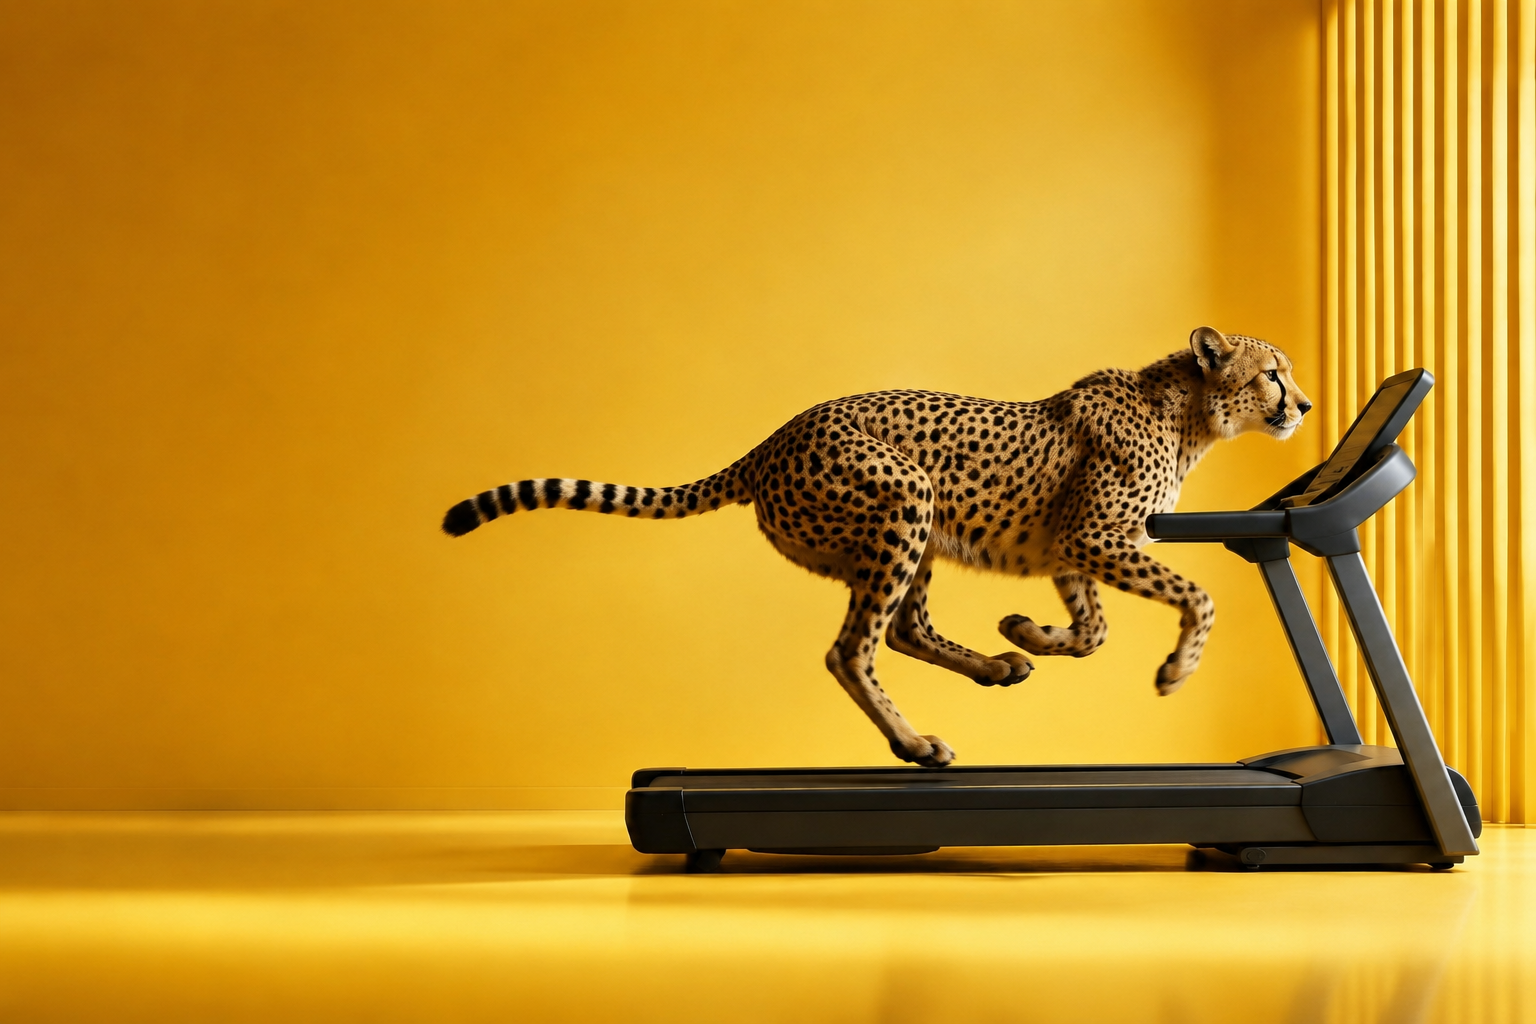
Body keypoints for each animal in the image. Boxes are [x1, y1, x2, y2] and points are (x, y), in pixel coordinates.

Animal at [442, 326, 1311, 767]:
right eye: (1272, 372)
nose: (1302, 404)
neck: (1190, 411)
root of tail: (778, 436)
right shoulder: (1095, 533)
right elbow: (1198, 595)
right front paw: (1176, 670)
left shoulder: (1074, 545)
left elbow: (1091, 629)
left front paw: (1027, 630)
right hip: (906, 499)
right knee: (853, 646)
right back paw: (915, 743)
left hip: (913, 530)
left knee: (903, 628)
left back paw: (996, 665)